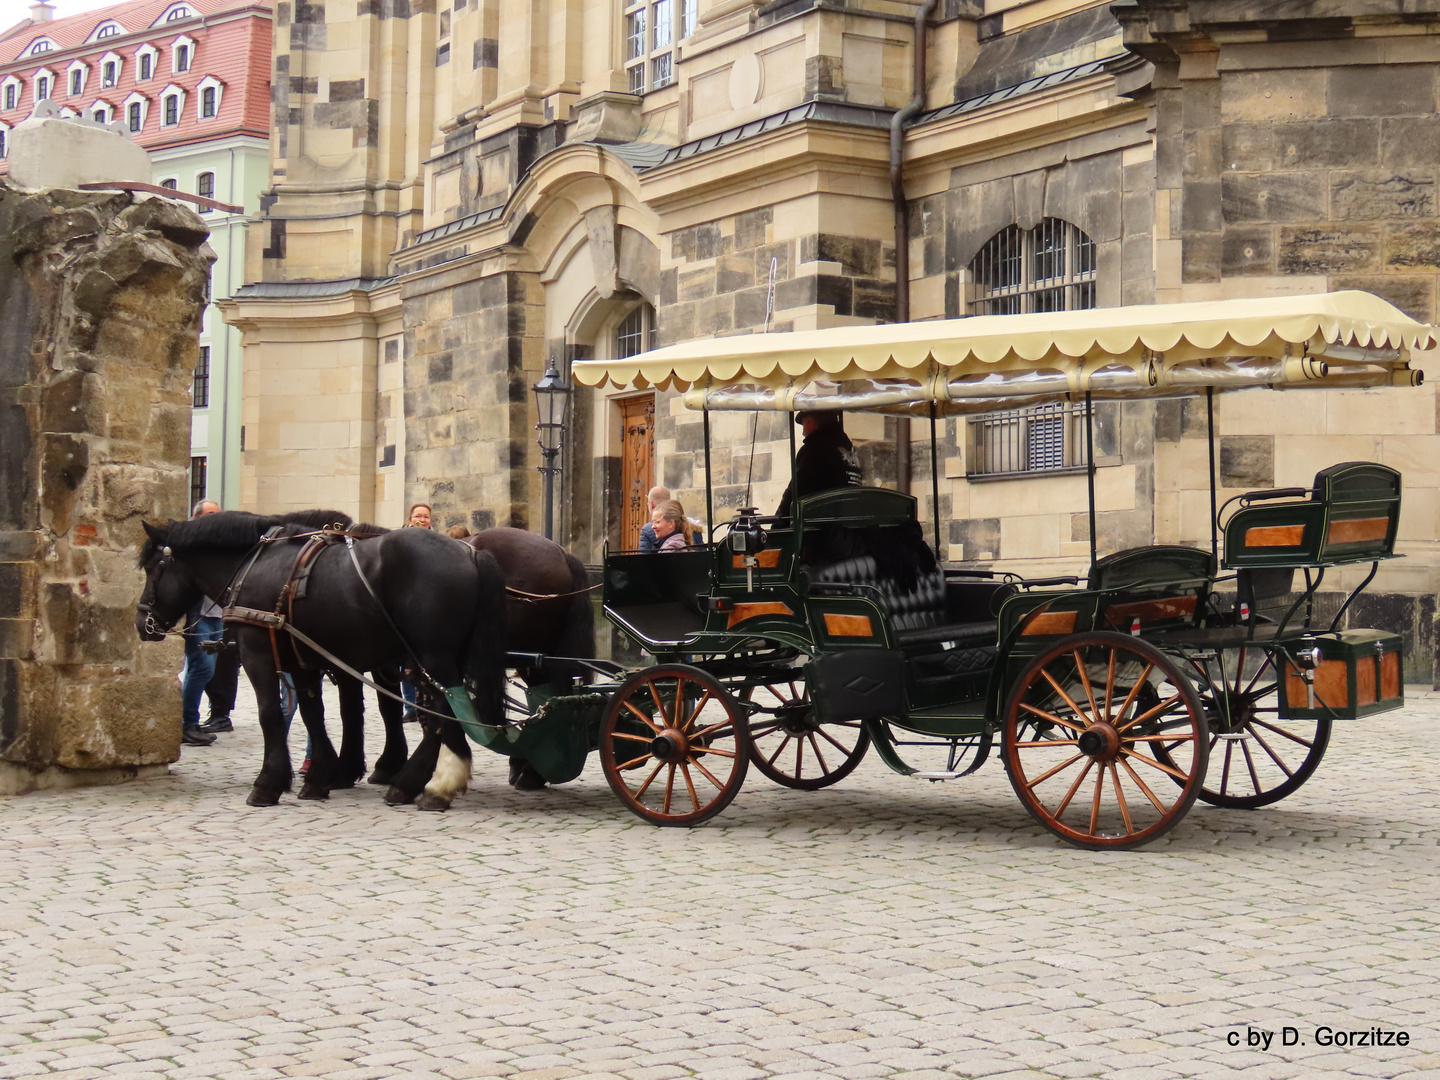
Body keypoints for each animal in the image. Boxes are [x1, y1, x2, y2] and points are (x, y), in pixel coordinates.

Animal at [135, 512, 506, 806]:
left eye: (152, 568)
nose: (142, 623)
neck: (255, 564)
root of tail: (470, 550)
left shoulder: (258, 654)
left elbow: (270, 714)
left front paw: (268, 784)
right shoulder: (303, 658)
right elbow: (314, 714)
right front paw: (319, 777)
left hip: (432, 657)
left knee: (444, 712)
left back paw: (434, 786)